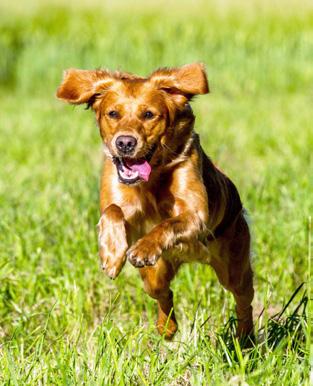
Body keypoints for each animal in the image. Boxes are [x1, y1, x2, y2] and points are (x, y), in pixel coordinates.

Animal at [56, 64, 254, 340]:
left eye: (148, 114)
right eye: (113, 113)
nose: (125, 143)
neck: (152, 178)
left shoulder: (195, 214)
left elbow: (168, 223)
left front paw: (144, 248)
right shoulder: (121, 204)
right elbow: (113, 211)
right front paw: (112, 255)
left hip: (234, 266)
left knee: (244, 299)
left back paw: (245, 337)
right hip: (155, 275)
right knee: (165, 293)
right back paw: (167, 328)